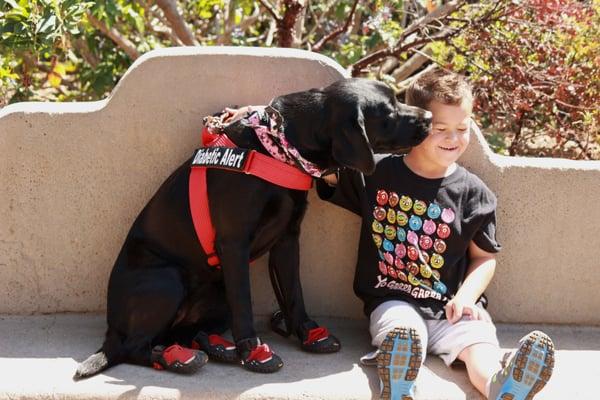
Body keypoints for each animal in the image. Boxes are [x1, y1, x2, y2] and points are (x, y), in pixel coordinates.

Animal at [75, 77, 432, 378]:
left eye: (397, 99)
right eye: (388, 111)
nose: (429, 116)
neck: (280, 143)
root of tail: (111, 327)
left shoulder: (287, 238)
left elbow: (294, 292)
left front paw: (308, 333)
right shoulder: (234, 244)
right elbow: (245, 303)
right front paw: (254, 351)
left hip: (216, 294)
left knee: (181, 332)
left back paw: (213, 346)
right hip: (168, 280)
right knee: (133, 347)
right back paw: (175, 358)